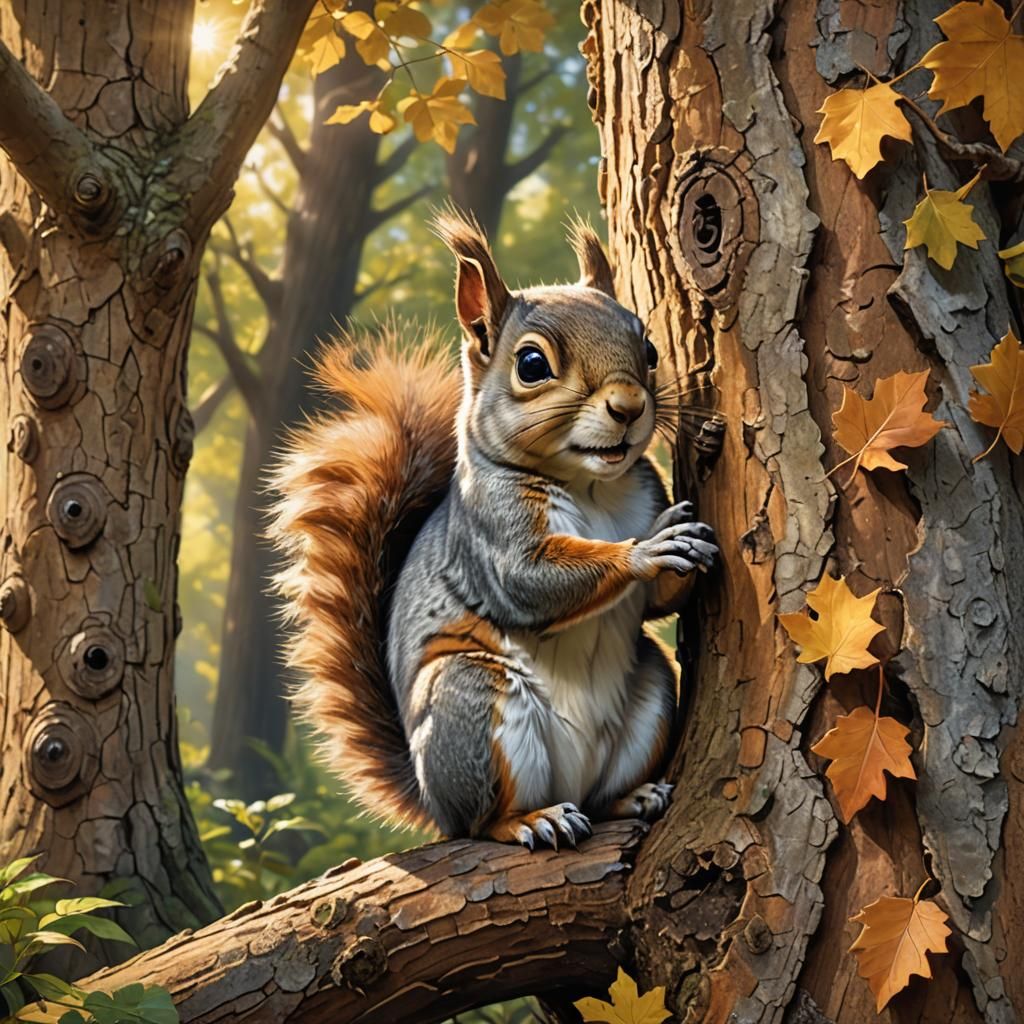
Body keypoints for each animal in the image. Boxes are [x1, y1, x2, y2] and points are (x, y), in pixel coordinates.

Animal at [269, 210, 718, 850]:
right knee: (484, 821)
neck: (592, 486)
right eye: (532, 365)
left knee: (599, 795)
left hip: (651, 685)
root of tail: (433, 801)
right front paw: (646, 550)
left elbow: (656, 603)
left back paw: (631, 796)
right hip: (474, 704)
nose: (630, 407)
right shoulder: (491, 533)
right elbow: (530, 581)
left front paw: (686, 542)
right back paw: (531, 819)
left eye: (650, 348)